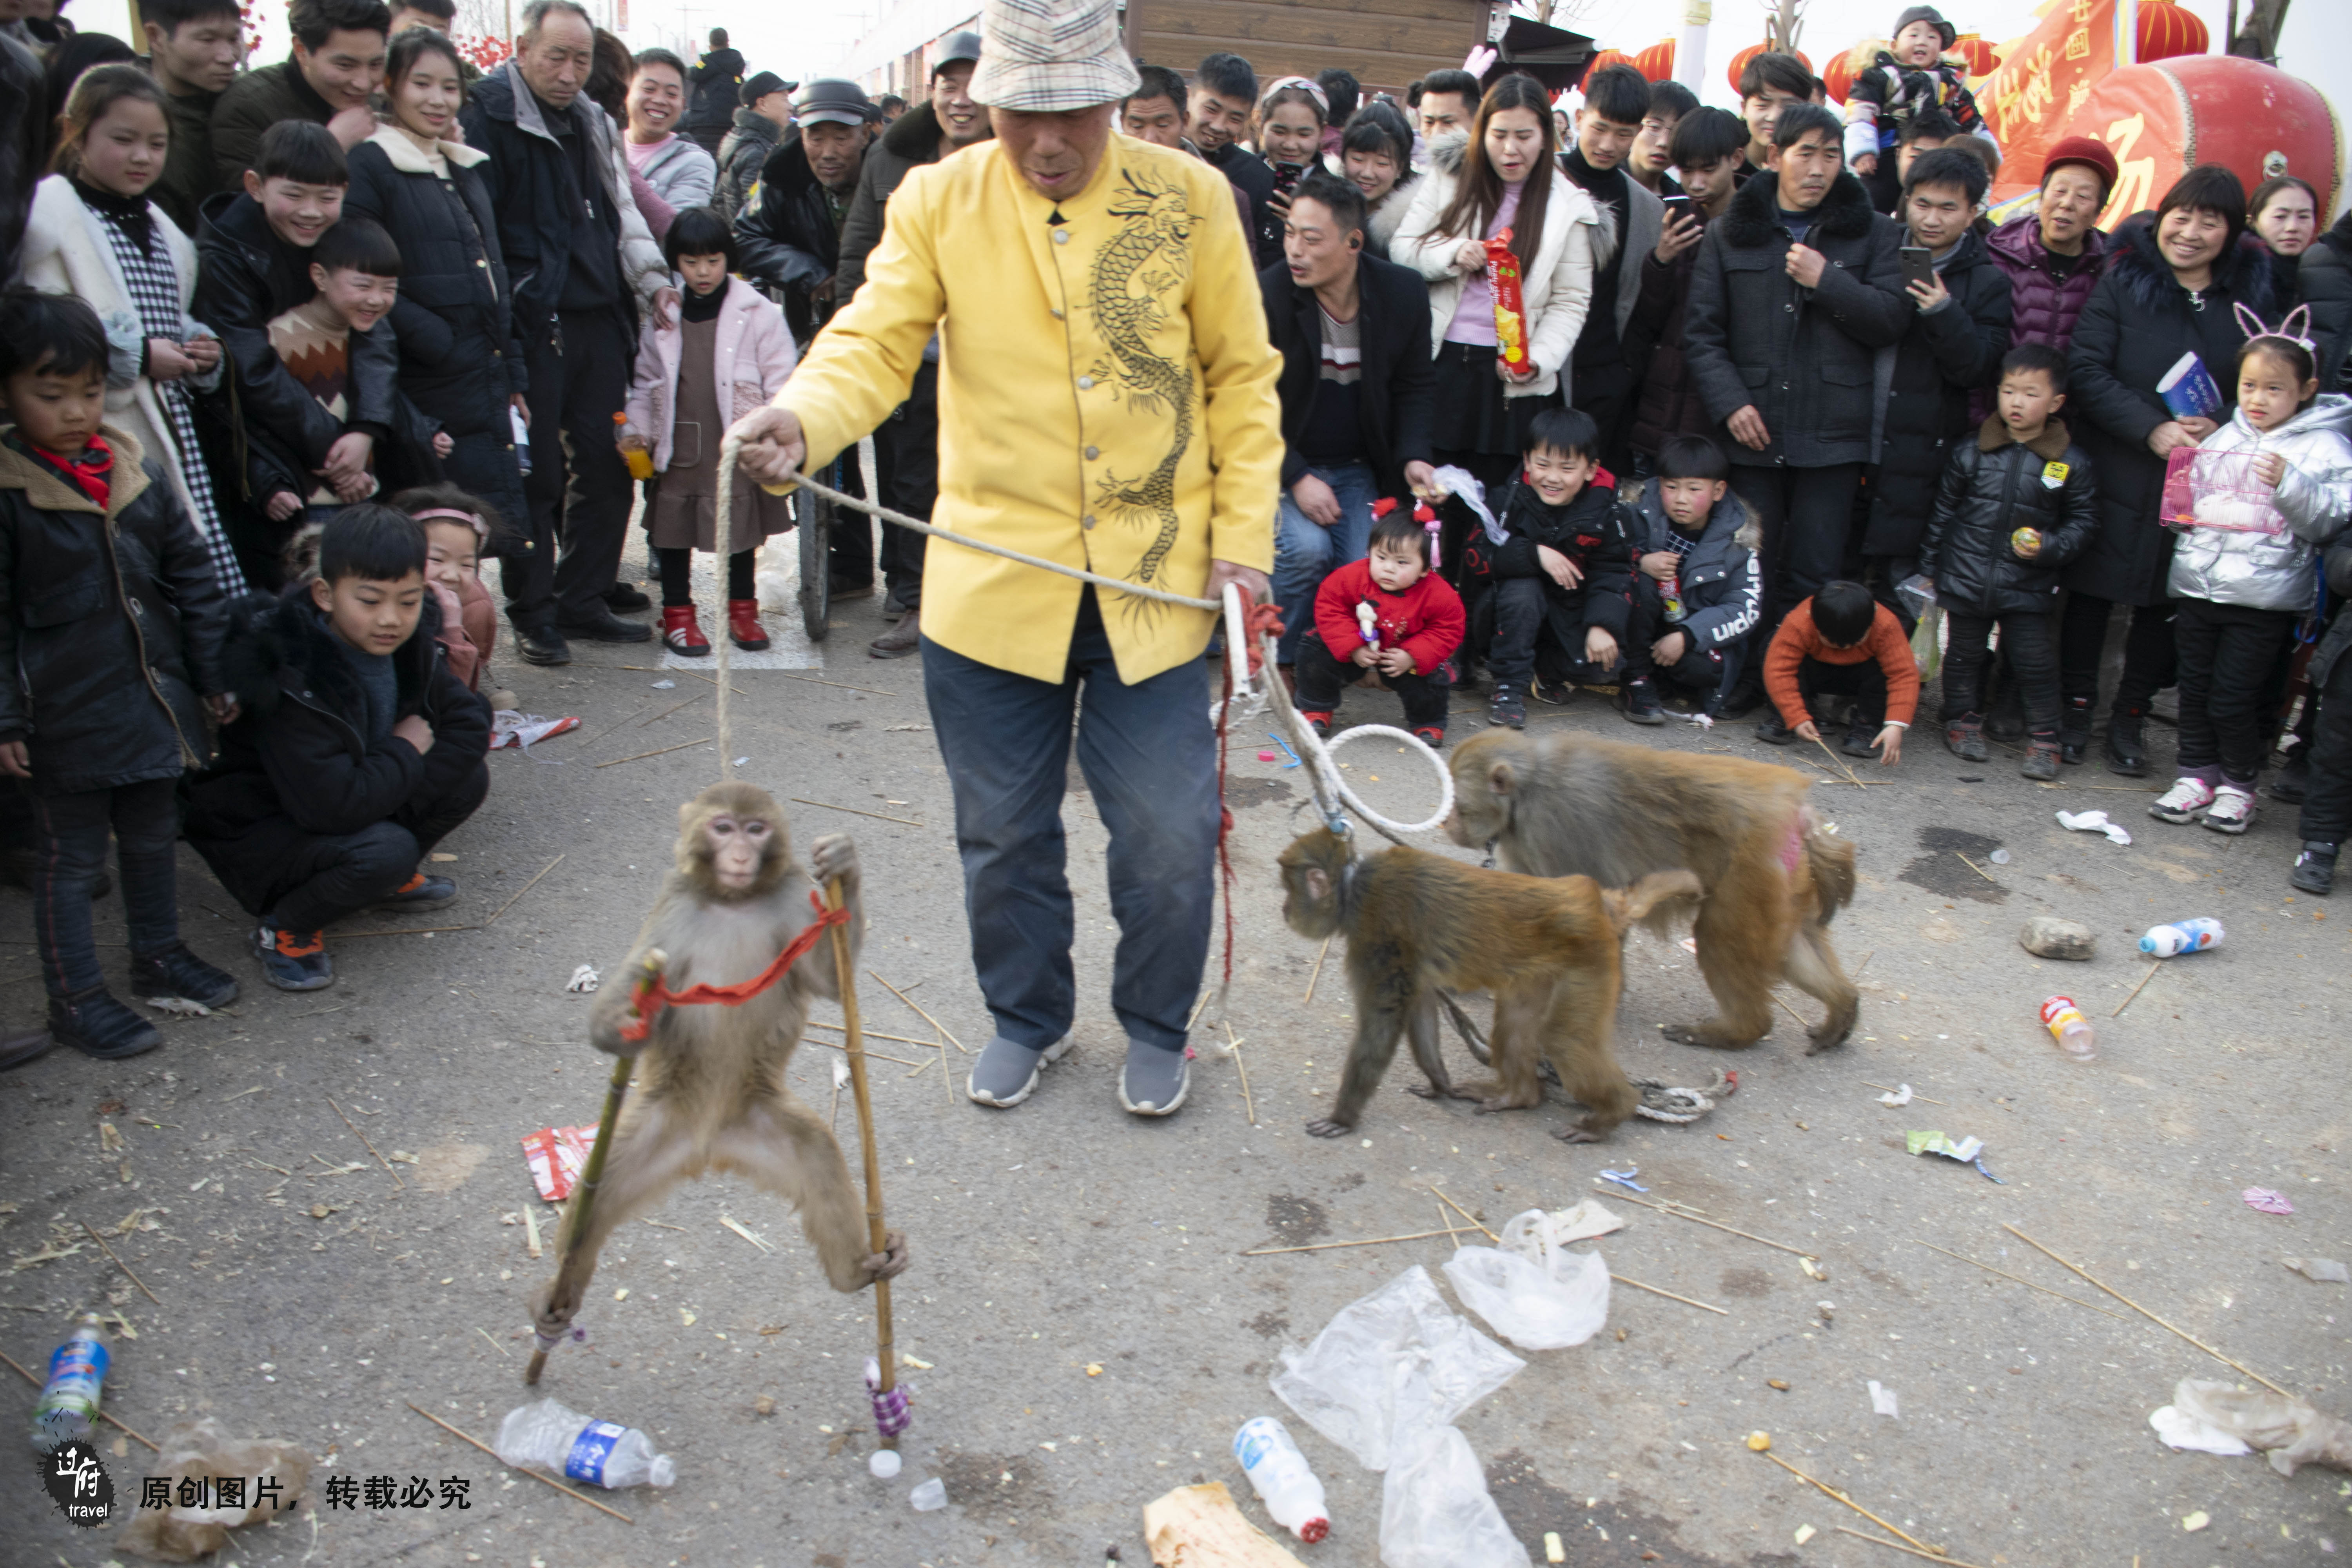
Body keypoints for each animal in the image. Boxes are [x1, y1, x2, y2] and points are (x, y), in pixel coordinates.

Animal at [534, 780, 908, 1345]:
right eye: (723, 827)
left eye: (755, 829)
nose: (739, 855)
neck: (734, 900)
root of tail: (708, 1144)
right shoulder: (672, 905)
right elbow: (620, 1005)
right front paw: (622, 1022)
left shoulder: (793, 893)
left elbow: (829, 982)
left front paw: (845, 862)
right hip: (656, 1123)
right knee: (594, 1202)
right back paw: (558, 1301)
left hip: (760, 1118)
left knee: (818, 1153)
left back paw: (857, 1273)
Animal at [1279, 827, 1703, 1147]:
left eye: (1290, 890)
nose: (1285, 910)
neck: (1354, 887)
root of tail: (1599, 900)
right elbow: (1419, 1006)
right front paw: (1440, 1084)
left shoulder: (1377, 933)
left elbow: (1382, 1021)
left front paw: (1343, 1118)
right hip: (1542, 970)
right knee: (1516, 1024)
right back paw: (1518, 1096)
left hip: (1591, 959)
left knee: (1564, 1039)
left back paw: (1612, 1114)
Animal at [1439, 733, 1863, 1053]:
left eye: (1459, 804)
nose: (1447, 823)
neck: (1525, 790)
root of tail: (1798, 811)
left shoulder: (1550, 831)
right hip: (1785, 880)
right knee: (1791, 944)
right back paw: (1842, 1006)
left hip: (1751, 871)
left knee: (1719, 937)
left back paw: (1737, 1031)